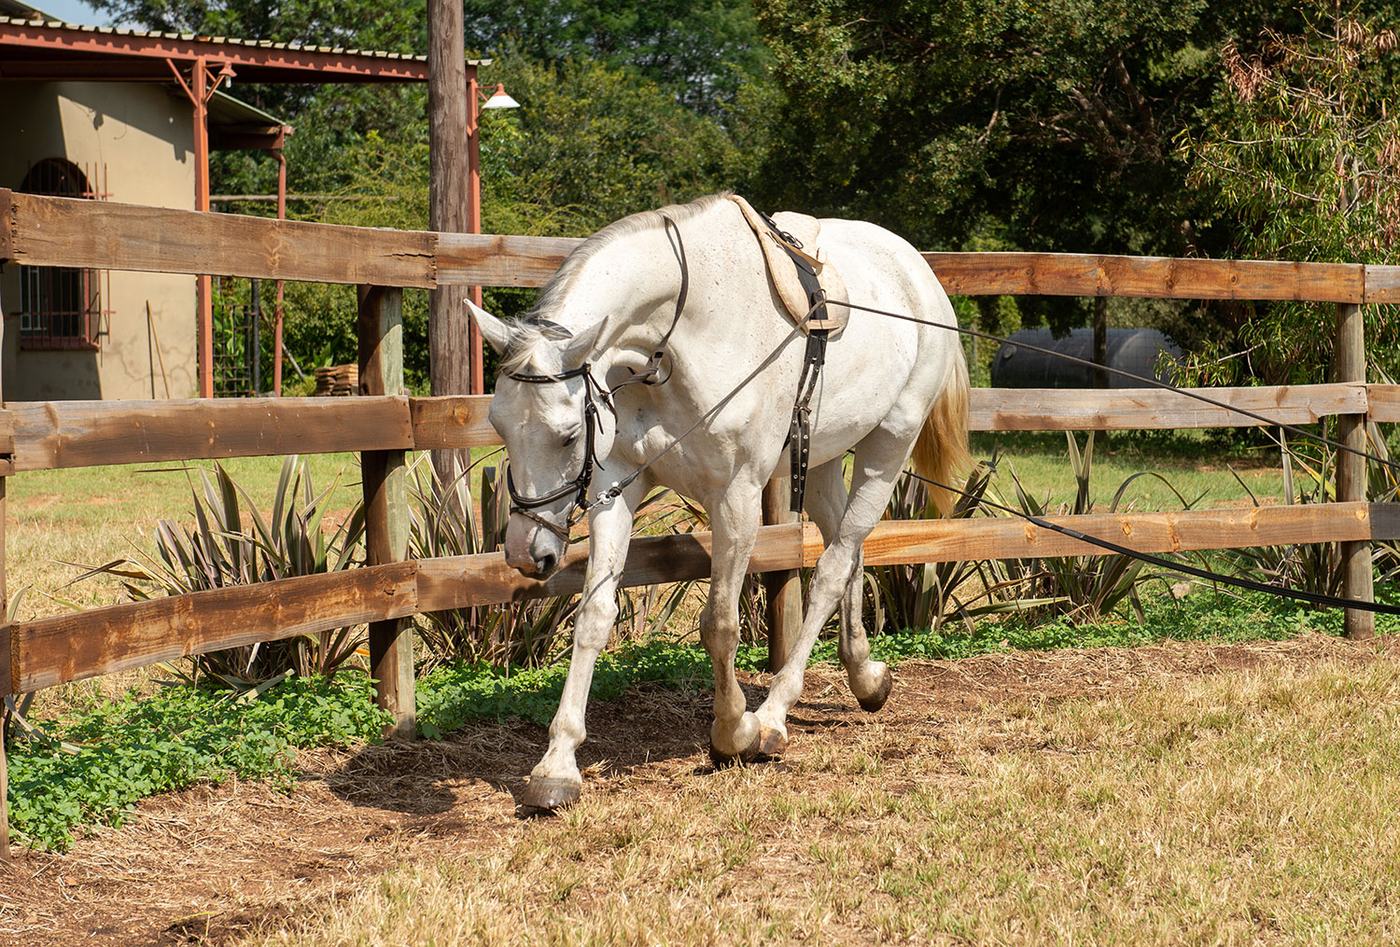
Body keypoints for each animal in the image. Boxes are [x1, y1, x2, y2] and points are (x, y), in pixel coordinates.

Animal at [467, 194, 971, 812]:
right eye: (499, 426)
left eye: (567, 435)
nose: (525, 552)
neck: (678, 343)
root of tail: (918, 271)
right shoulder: (617, 489)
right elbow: (594, 615)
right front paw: (557, 765)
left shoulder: (737, 497)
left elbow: (720, 624)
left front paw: (735, 731)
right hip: (823, 458)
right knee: (847, 554)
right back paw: (866, 678)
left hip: (889, 447)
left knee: (832, 568)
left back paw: (774, 717)